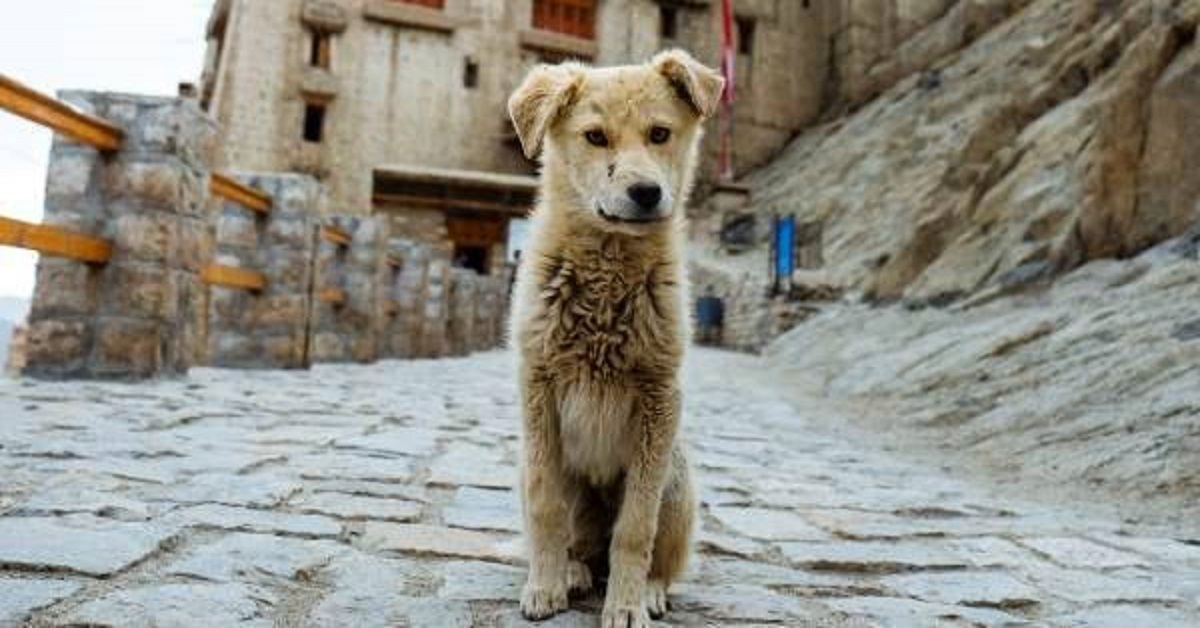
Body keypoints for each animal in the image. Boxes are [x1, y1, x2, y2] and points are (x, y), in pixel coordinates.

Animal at [504, 50, 720, 628]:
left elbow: (635, 529)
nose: (646, 193)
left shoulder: (659, 398)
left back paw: (650, 590)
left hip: (678, 480)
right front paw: (543, 588)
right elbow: (546, 507)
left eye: (660, 133)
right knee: (577, 541)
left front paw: (625, 604)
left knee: (658, 556)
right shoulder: (538, 388)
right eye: (595, 137)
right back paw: (572, 573)